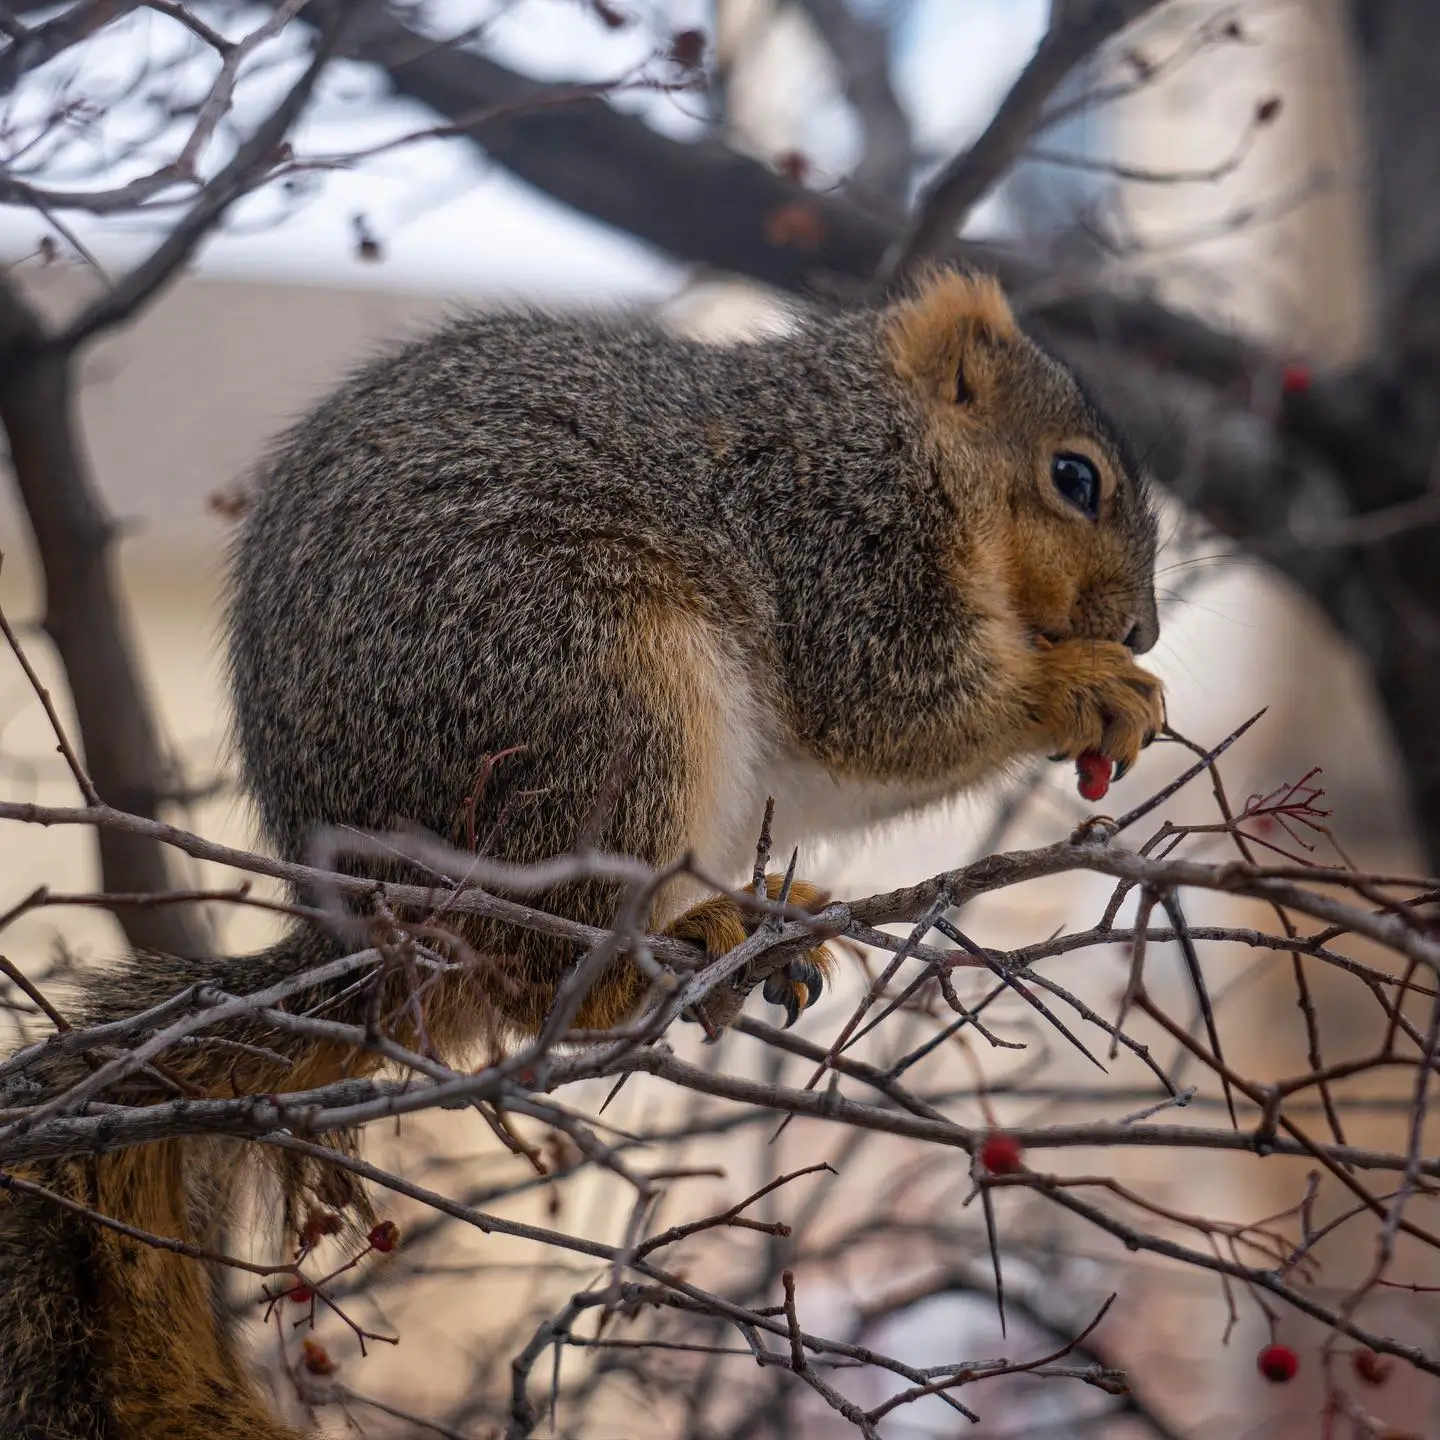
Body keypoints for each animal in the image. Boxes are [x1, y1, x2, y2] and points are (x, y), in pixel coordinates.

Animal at [0, 270, 1162, 1439]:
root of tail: (390, 919)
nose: (1144, 634)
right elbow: (892, 701)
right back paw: (686, 940)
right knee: (548, 977)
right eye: (1075, 477)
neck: (879, 433)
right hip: (602, 702)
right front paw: (1079, 687)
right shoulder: (841, 541)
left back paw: (762, 925)